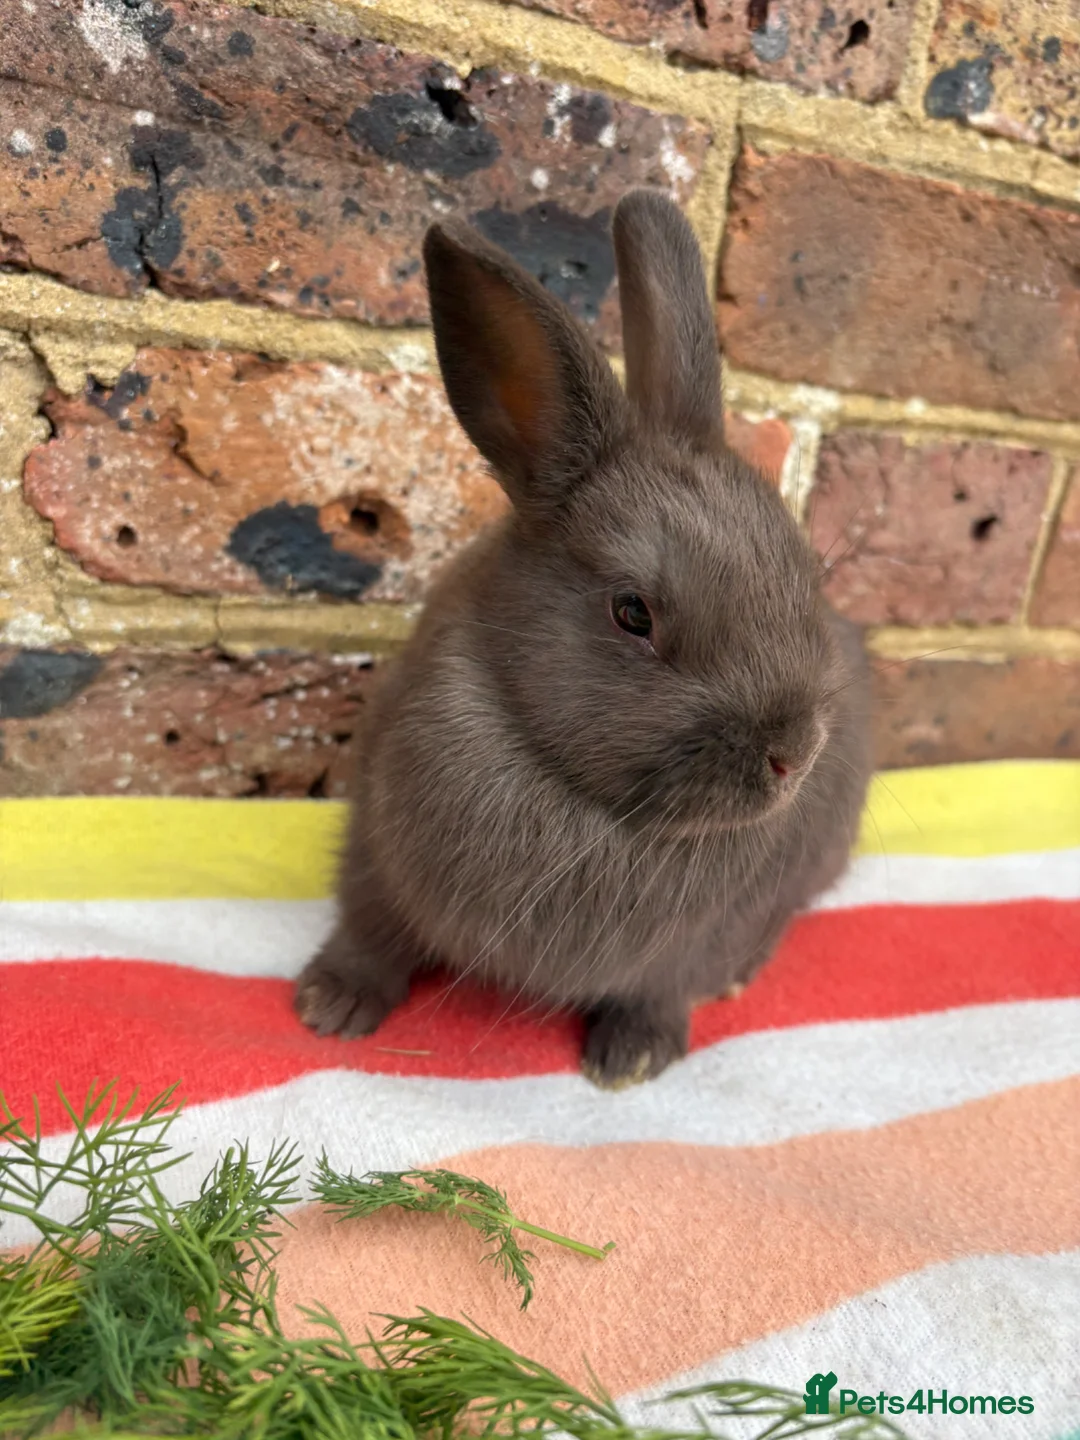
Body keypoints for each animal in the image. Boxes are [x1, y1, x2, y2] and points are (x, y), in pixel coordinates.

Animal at [294, 189, 873, 1088]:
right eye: (633, 612)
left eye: (808, 575)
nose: (794, 756)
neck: (588, 804)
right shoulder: (374, 851)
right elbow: (369, 926)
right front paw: (331, 1007)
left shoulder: (705, 937)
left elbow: (667, 986)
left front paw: (632, 1059)